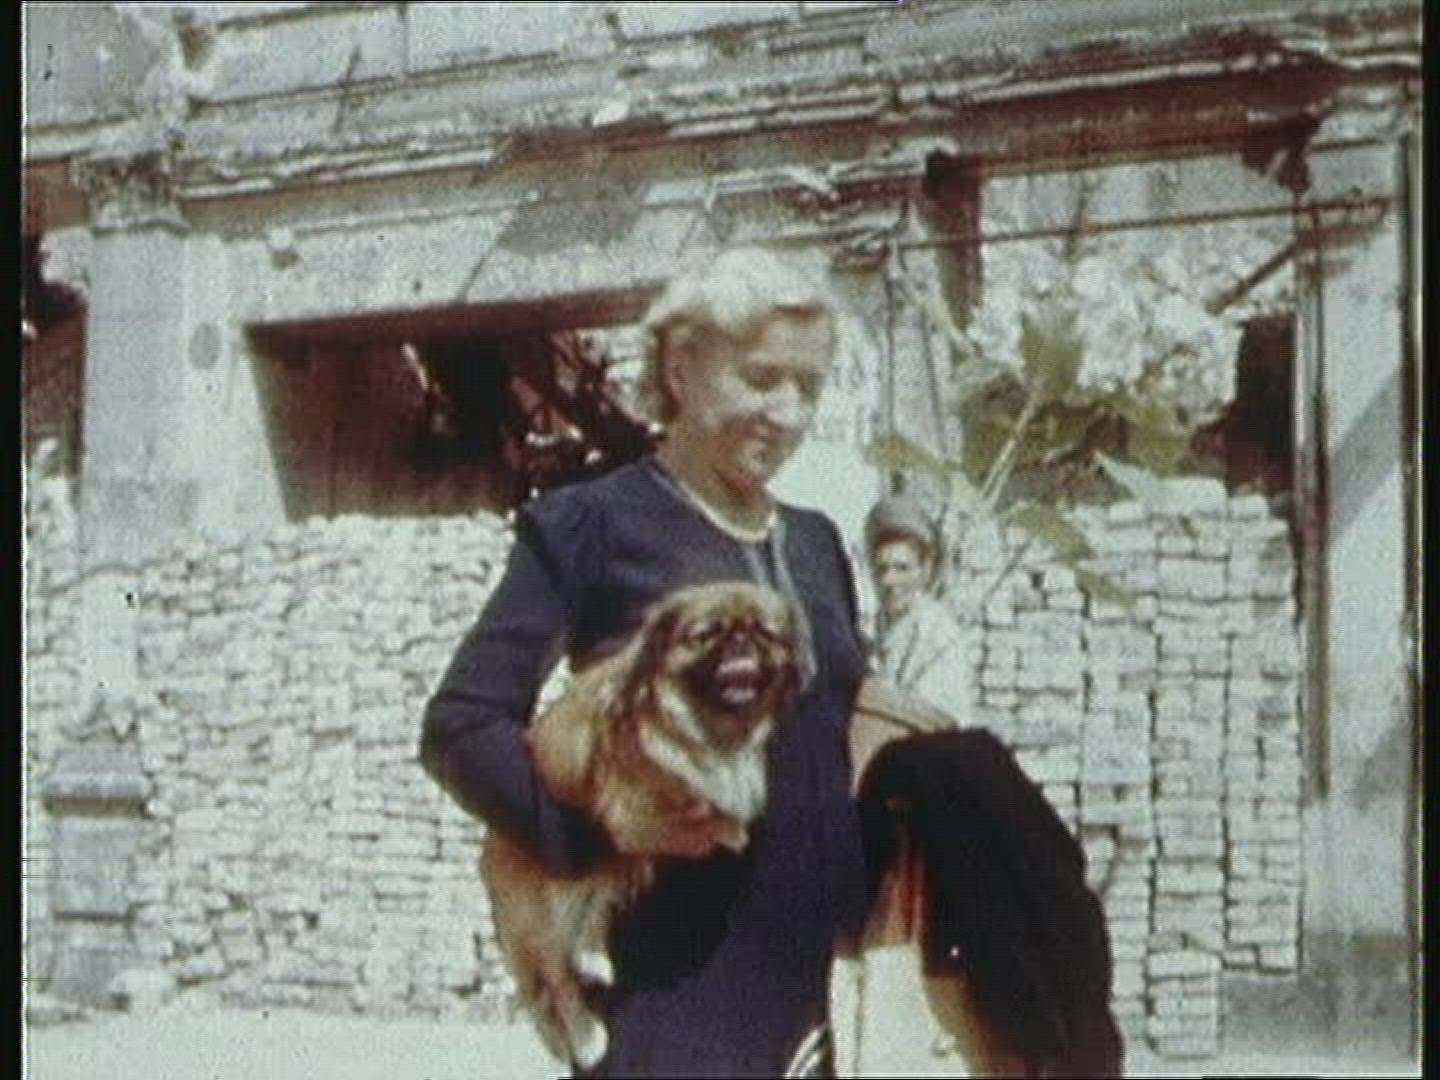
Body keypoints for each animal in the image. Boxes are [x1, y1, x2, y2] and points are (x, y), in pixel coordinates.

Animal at [481, 580, 804, 1071]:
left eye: (764, 632)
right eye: (707, 635)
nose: (740, 639)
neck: (708, 729)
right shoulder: (634, 811)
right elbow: (702, 816)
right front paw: (727, 827)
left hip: (613, 871)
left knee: (594, 909)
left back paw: (593, 957)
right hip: (545, 904)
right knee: (558, 976)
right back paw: (587, 1036)